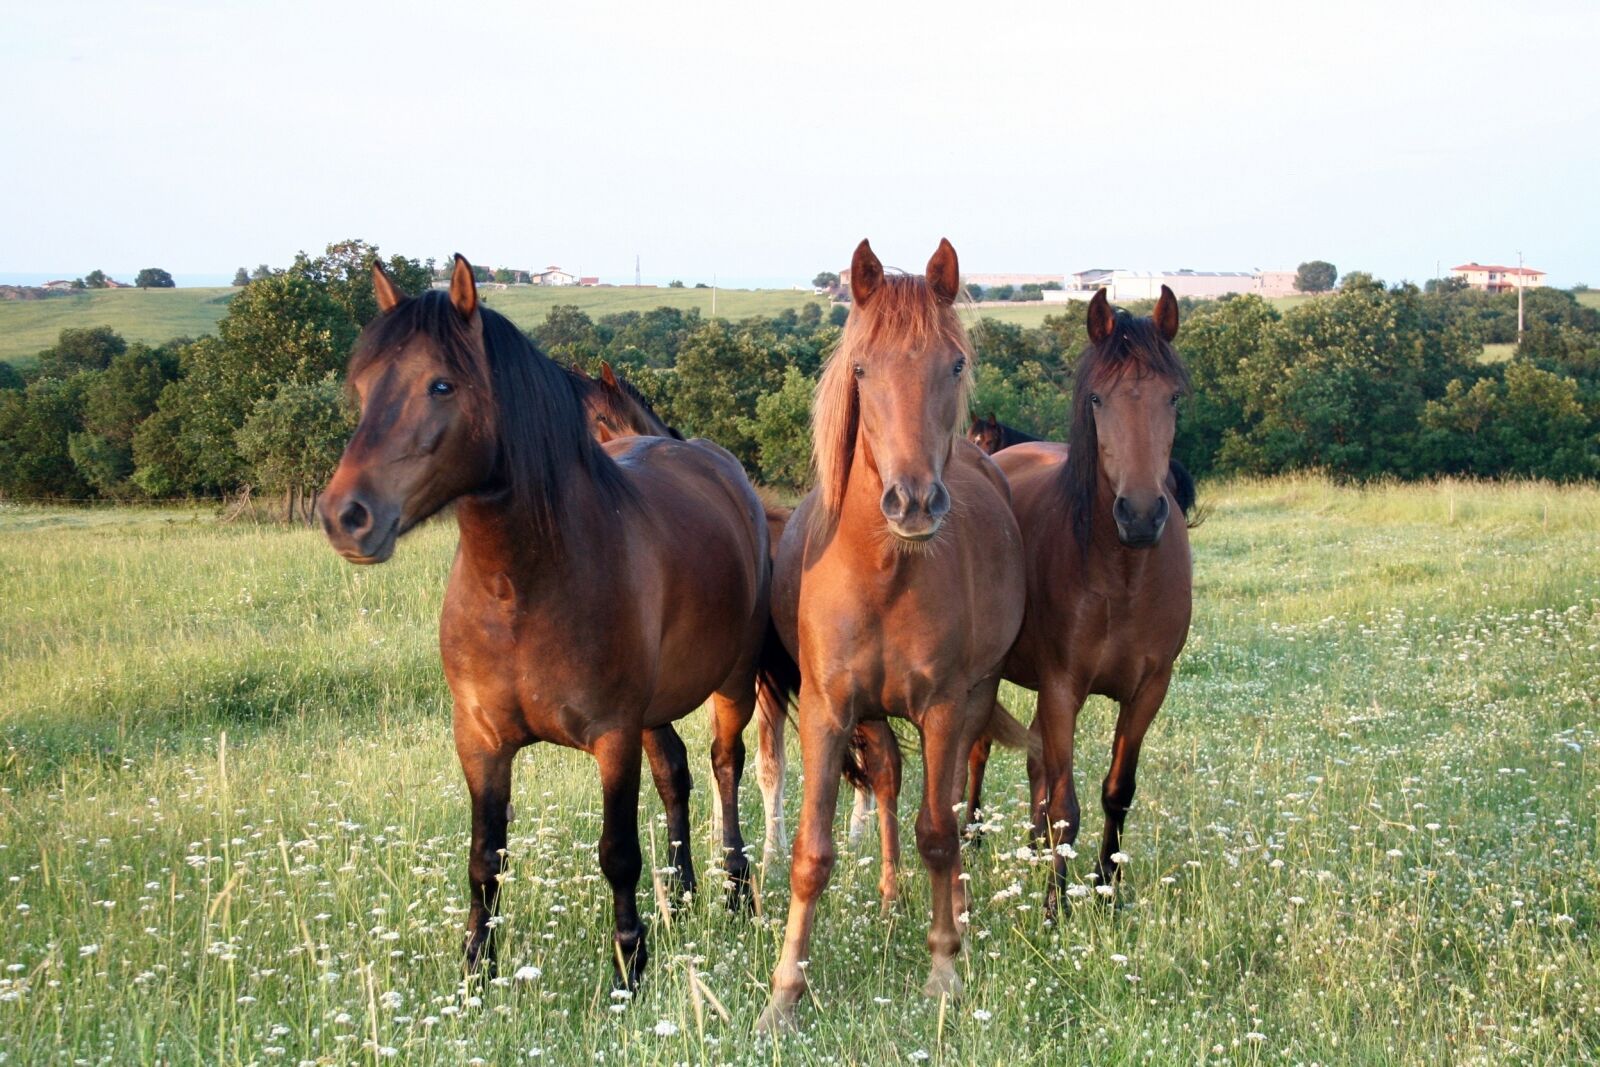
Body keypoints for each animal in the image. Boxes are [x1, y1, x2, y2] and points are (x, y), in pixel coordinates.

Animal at [317, 257, 772, 989]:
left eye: (440, 384)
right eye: (362, 386)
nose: (345, 516)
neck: (521, 592)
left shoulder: (613, 736)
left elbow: (617, 851)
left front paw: (629, 963)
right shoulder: (479, 741)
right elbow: (485, 856)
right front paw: (477, 969)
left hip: (732, 682)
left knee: (725, 766)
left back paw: (734, 889)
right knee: (675, 773)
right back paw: (682, 893)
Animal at [756, 239, 1028, 1032]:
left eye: (955, 364)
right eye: (862, 368)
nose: (912, 502)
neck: (884, 574)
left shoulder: (943, 707)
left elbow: (938, 832)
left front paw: (942, 971)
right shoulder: (827, 710)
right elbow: (811, 853)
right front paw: (784, 994)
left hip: (972, 700)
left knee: (951, 800)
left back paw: (955, 912)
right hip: (872, 717)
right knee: (886, 778)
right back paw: (886, 896)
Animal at [983, 285, 1195, 908]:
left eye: (1174, 398)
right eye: (1097, 398)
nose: (1142, 514)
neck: (1122, 574)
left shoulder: (1149, 690)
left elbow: (1116, 791)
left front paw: (1105, 887)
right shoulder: (1062, 688)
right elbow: (1065, 804)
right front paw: (1056, 907)